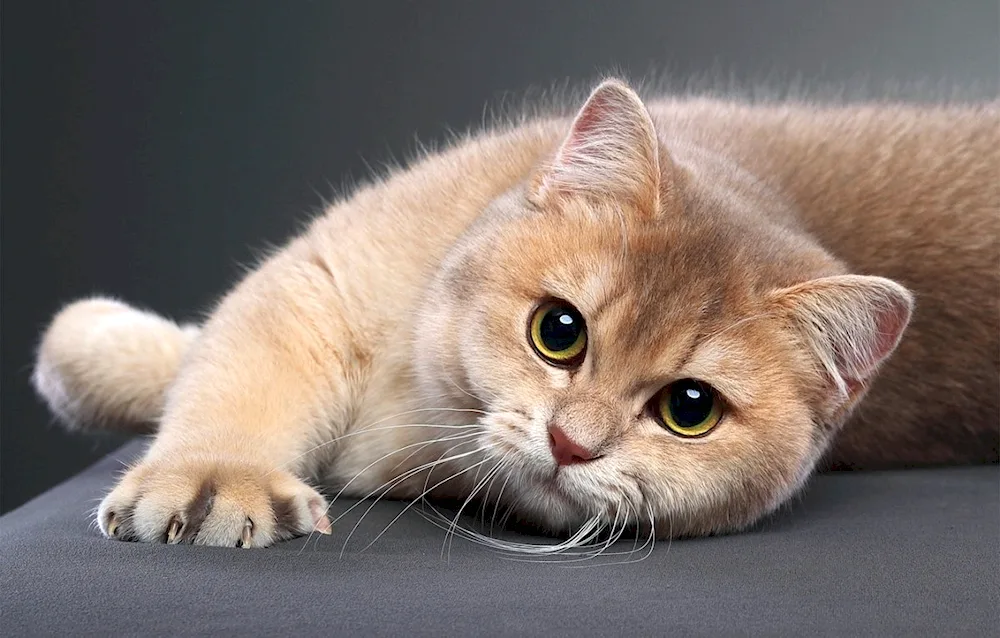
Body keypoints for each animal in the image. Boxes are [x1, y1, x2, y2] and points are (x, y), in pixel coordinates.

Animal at [31, 79, 1000, 552]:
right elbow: (226, 361)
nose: (572, 443)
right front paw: (210, 472)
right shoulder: (327, 282)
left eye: (690, 409)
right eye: (558, 332)